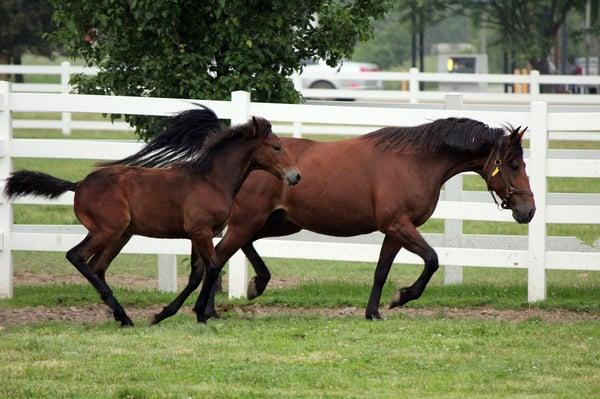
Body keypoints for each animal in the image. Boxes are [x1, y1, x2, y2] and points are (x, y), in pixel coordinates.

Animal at [4, 108, 300, 326]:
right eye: (276, 147)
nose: (295, 176)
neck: (211, 180)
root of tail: (78, 185)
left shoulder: (197, 234)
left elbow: (197, 273)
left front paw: (169, 314)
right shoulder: (201, 231)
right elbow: (214, 267)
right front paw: (196, 314)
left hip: (121, 235)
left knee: (97, 266)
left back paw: (121, 316)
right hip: (107, 231)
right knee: (76, 256)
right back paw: (124, 316)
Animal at [108, 117, 536, 324]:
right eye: (514, 165)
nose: (528, 211)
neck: (415, 160)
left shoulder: (394, 230)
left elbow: (381, 271)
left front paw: (374, 311)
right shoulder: (399, 225)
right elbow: (432, 260)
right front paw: (402, 297)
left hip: (279, 222)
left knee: (234, 251)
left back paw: (252, 286)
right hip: (252, 219)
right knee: (221, 254)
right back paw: (209, 309)